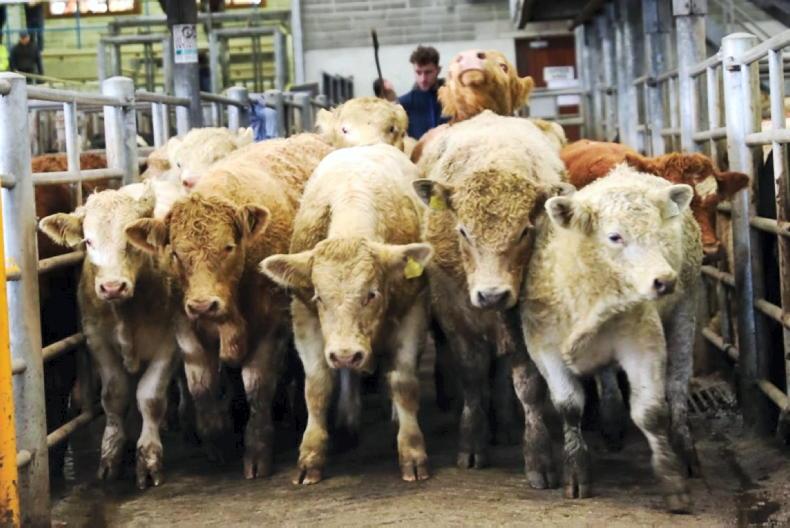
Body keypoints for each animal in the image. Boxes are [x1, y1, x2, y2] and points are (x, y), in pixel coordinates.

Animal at [39, 181, 182, 490]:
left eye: (130, 241)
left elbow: (150, 396)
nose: (112, 287)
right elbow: (115, 395)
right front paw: (112, 455)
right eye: (88, 242)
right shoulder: (98, 341)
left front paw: (148, 458)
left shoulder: (170, 342)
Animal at [125, 134, 334, 478]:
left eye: (228, 247)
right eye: (176, 253)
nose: (203, 304)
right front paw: (214, 437)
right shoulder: (186, 327)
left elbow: (257, 387)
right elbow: (202, 386)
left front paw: (257, 449)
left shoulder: (271, 327)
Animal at [260, 144, 433, 484]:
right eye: (319, 297)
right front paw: (310, 455)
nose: (345, 354)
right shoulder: (305, 317)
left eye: (372, 293)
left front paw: (412, 451)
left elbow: (404, 383)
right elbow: (317, 387)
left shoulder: (412, 312)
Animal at [413, 110, 569, 487]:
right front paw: (471, 443)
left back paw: (507, 424)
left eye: (525, 231)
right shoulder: (455, 315)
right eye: (463, 231)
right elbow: (471, 378)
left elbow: (528, 386)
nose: (492, 294)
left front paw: (538, 456)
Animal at [519, 164, 702, 512]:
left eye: (659, 234)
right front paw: (576, 471)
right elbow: (568, 406)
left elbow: (651, 413)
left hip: (685, 315)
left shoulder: (644, 341)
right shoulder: (542, 345)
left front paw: (673, 481)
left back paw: (686, 450)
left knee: (677, 387)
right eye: (615, 236)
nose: (664, 281)